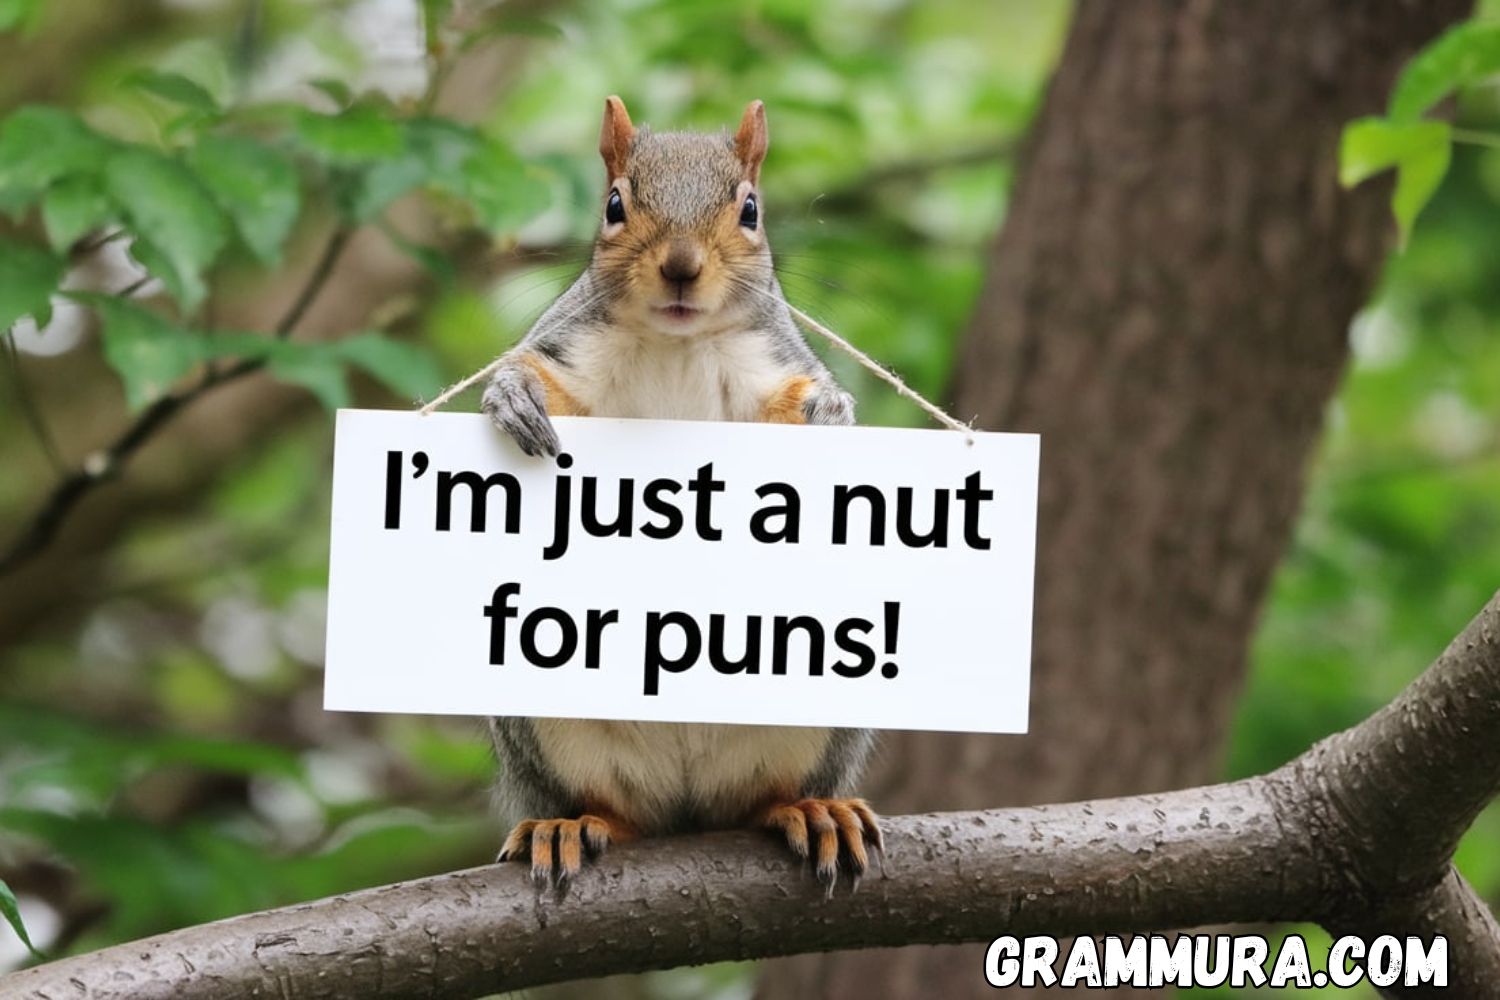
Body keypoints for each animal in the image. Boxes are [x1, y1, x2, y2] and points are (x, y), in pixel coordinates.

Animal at [481, 96, 882, 893]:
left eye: (751, 210)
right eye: (613, 205)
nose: (680, 266)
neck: (676, 345)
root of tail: (690, 807)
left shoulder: (771, 370)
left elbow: (803, 406)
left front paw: (830, 413)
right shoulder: (570, 359)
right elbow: (537, 382)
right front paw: (510, 396)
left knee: (768, 796)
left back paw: (812, 808)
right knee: (606, 805)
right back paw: (567, 823)